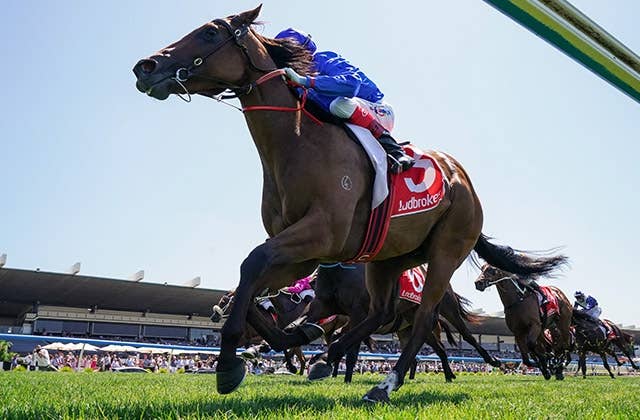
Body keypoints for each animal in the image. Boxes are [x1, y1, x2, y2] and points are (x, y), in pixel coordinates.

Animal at [298, 263, 501, 383]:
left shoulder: (359, 312)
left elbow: (350, 350)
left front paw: (343, 376)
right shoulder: (322, 306)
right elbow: (305, 327)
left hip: (448, 309)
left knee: (467, 335)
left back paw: (492, 360)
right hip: (417, 321)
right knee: (439, 349)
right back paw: (448, 374)